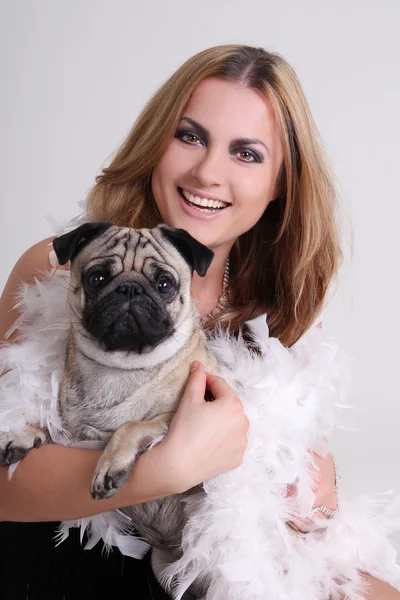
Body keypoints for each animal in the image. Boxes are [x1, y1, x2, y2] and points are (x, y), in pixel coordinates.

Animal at [0, 221, 222, 600]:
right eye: (97, 278)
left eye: (164, 284)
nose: (130, 289)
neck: (119, 367)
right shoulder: (70, 427)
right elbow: (49, 422)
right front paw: (23, 432)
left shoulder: (185, 414)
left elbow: (129, 426)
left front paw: (110, 465)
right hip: (165, 569)